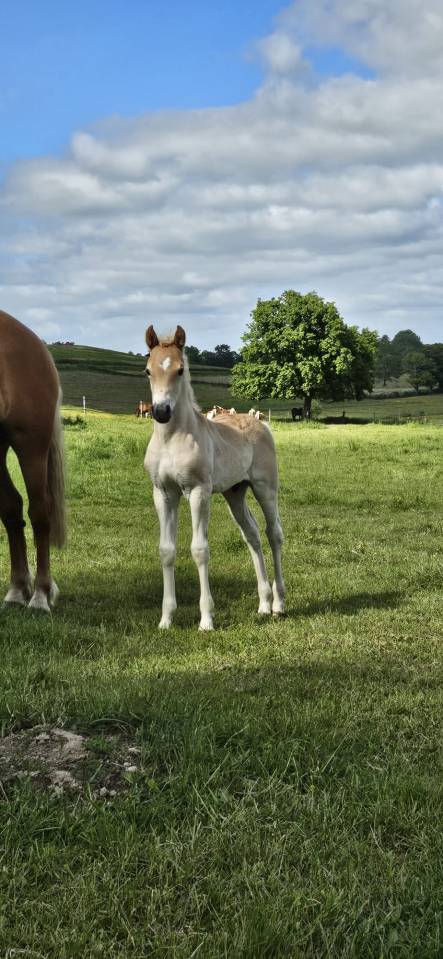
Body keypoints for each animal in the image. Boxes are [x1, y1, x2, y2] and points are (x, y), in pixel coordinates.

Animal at [144, 325, 285, 630]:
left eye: (180, 370)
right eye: (147, 370)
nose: (161, 412)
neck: (172, 439)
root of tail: (261, 423)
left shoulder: (198, 492)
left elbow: (199, 549)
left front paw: (206, 619)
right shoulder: (163, 493)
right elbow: (166, 550)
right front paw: (166, 618)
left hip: (265, 488)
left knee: (273, 533)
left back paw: (279, 603)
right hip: (235, 492)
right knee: (252, 535)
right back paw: (263, 604)